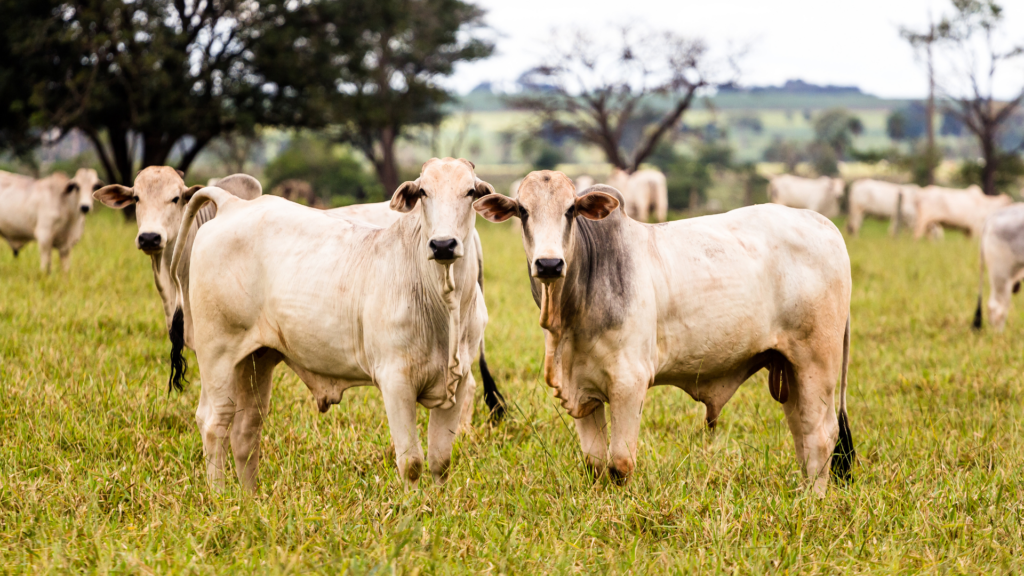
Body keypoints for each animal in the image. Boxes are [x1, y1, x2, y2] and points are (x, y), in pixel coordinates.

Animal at [168, 155, 495, 487]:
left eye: (470, 191)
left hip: (255, 359)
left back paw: (249, 495)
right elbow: (412, 463)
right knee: (214, 422)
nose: (443, 245)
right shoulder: (395, 381)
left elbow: (440, 461)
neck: (444, 305)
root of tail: (232, 203)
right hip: (217, 354)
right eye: (424, 192)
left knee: (246, 429)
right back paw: (219, 494)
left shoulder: (458, 382)